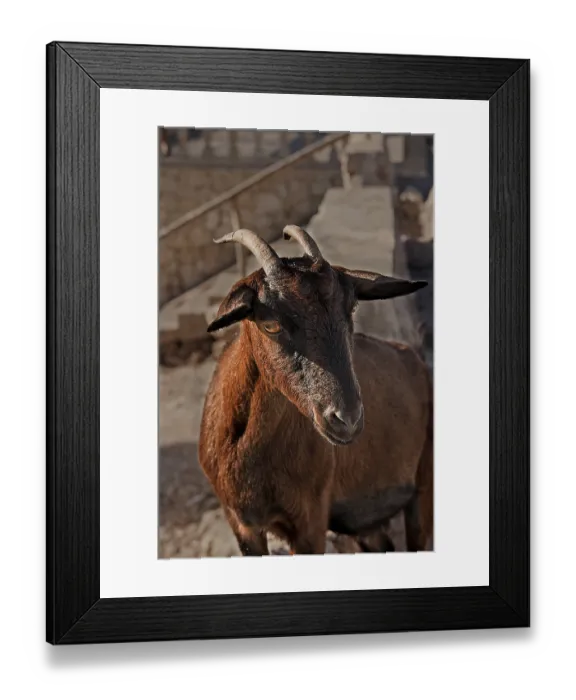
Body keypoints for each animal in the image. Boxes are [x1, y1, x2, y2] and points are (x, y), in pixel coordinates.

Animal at [198, 225, 433, 555]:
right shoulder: (242, 524)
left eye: (352, 306)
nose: (346, 420)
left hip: (423, 488)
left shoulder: (310, 519)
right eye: (270, 324)